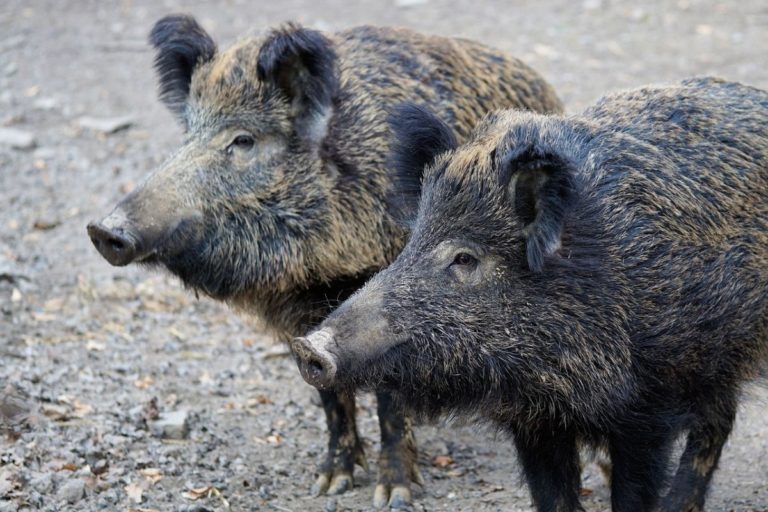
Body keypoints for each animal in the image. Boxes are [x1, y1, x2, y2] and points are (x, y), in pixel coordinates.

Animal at [86, 14, 563, 508]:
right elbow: (330, 396)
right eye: (187, 135)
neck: (321, 269)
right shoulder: (301, 318)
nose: (103, 230)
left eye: (243, 140)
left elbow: (389, 400)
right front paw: (330, 483)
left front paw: (392, 495)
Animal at [292, 77, 768, 511]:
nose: (306, 346)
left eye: (464, 258)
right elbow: (553, 497)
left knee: (716, 423)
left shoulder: (648, 410)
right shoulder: (534, 420)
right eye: (412, 242)